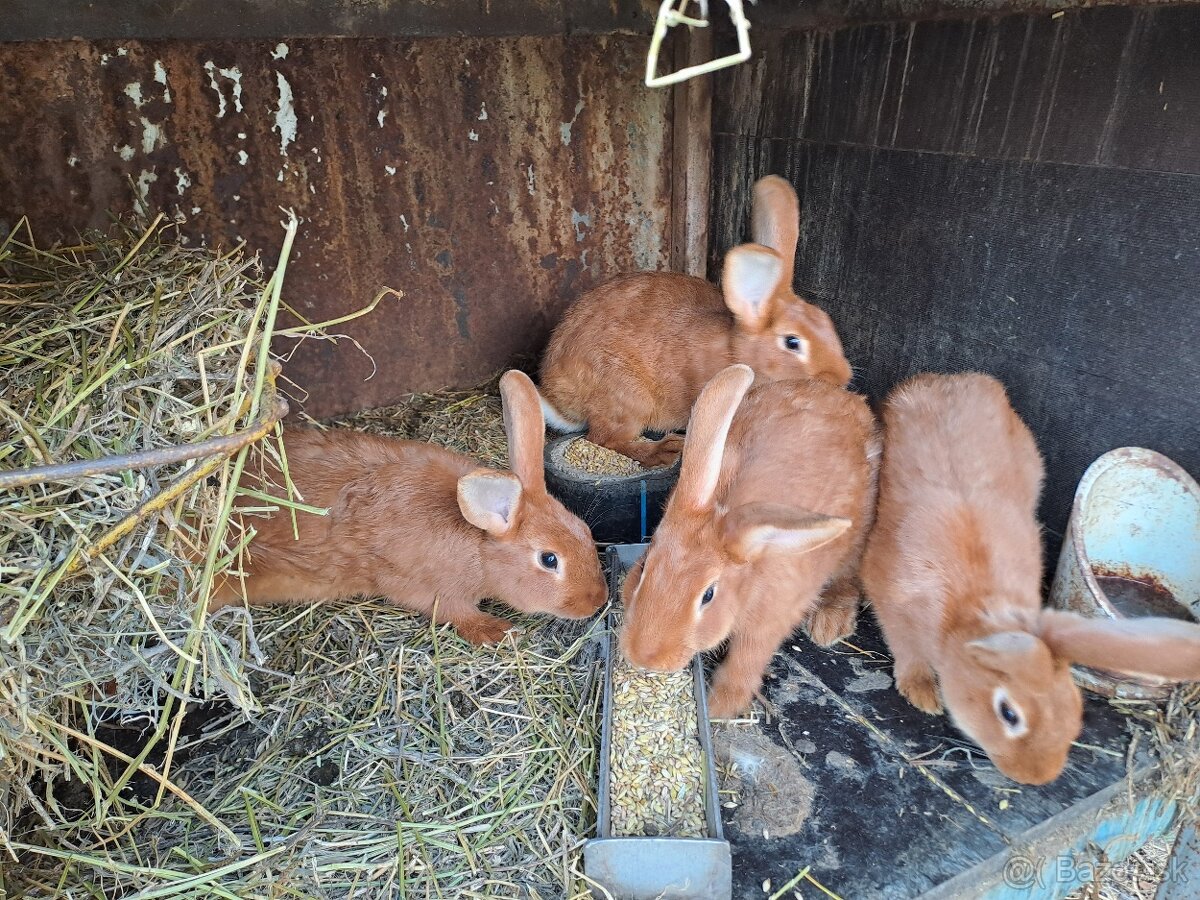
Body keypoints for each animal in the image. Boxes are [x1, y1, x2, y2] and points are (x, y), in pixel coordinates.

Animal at [208, 369, 609, 643]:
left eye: (585, 531)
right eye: (549, 559)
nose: (596, 601)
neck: (477, 542)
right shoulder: (427, 589)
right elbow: (456, 614)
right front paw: (499, 632)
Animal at [535, 177, 854, 472]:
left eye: (825, 321)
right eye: (792, 342)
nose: (841, 378)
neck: (739, 354)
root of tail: (559, 399)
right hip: (627, 398)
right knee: (605, 438)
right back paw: (665, 450)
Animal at [619, 364, 873, 720]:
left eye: (708, 595)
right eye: (643, 567)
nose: (643, 657)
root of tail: (846, 397)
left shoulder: (773, 617)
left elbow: (746, 659)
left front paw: (719, 707)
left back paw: (829, 624)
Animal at [859, 369, 1200, 787]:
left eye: (1074, 709)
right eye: (1009, 714)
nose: (1037, 776)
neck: (967, 617)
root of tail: (951, 380)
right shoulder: (891, 595)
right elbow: (907, 650)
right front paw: (922, 695)